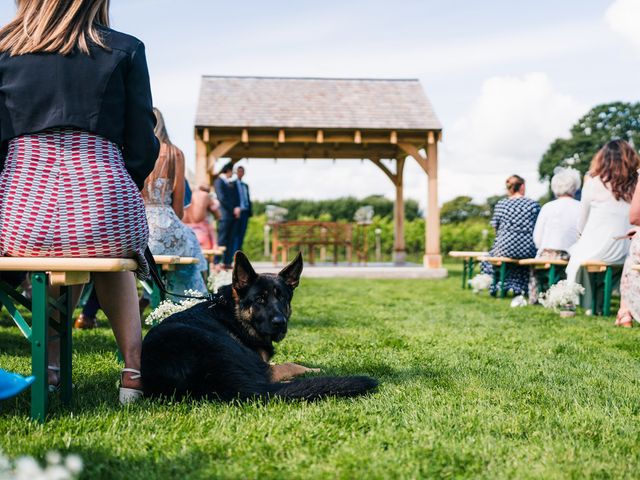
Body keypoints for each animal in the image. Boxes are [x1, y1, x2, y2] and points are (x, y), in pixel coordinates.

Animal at [141, 251, 376, 402]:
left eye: (282, 298)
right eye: (260, 299)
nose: (280, 323)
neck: (235, 314)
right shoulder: (266, 365)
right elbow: (292, 364)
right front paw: (315, 369)